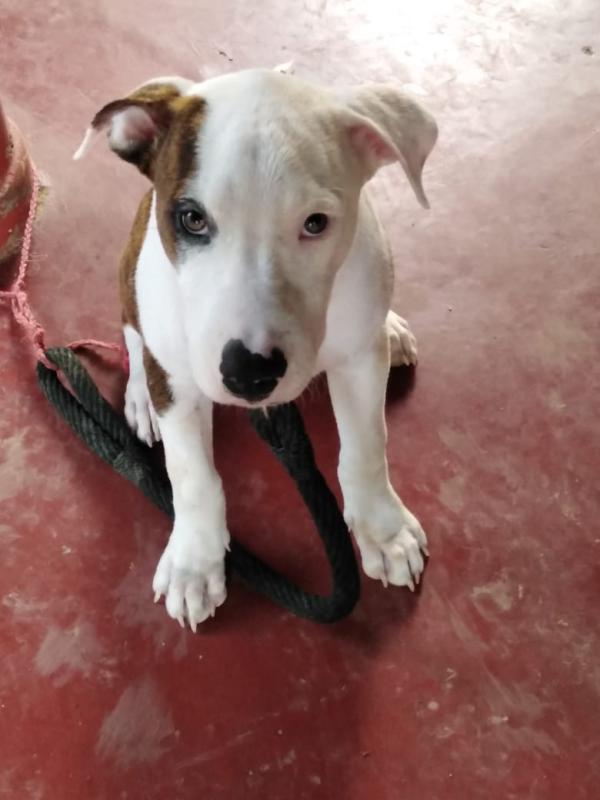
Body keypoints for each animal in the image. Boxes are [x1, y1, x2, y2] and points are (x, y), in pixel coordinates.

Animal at [75, 67, 437, 630]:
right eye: (192, 219)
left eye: (315, 223)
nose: (248, 373)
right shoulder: (180, 384)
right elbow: (192, 474)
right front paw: (194, 561)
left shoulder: (358, 360)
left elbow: (366, 446)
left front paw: (384, 530)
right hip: (130, 278)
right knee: (135, 336)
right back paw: (139, 397)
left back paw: (392, 328)